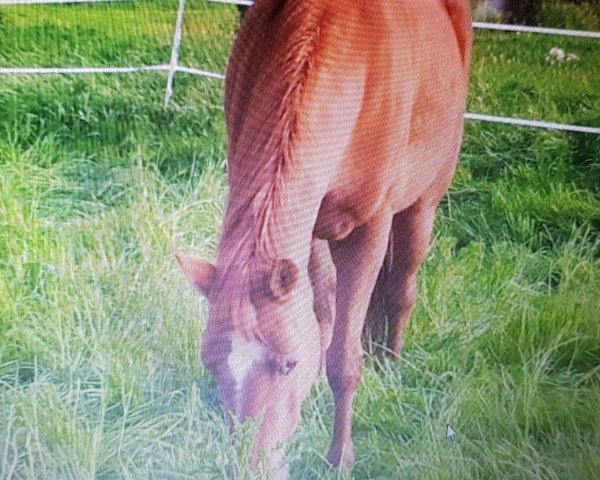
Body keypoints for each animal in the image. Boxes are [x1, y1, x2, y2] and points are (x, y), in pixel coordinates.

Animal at [176, 0, 472, 474]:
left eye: (287, 364)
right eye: (210, 361)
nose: (250, 467)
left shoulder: (369, 231)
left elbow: (343, 359)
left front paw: (340, 457)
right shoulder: (309, 223)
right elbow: (321, 313)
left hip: (421, 207)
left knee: (402, 286)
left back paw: (391, 365)